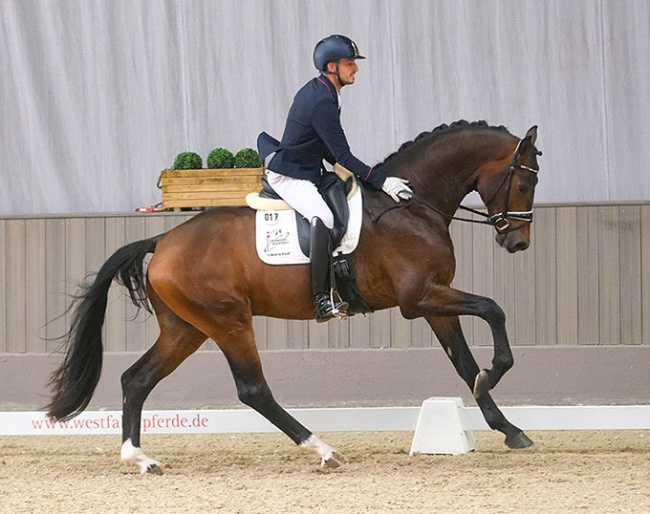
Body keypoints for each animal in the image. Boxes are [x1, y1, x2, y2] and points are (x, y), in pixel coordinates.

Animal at [48, 120, 540, 472]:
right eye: (524, 184)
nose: (517, 243)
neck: (410, 207)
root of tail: (162, 240)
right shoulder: (418, 299)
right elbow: (494, 310)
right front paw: (496, 374)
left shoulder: (434, 301)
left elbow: (464, 363)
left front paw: (508, 426)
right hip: (228, 322)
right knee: (252, 390)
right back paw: (323, 450)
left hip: (185, 329)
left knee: (136, 379)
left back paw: (140, 458)